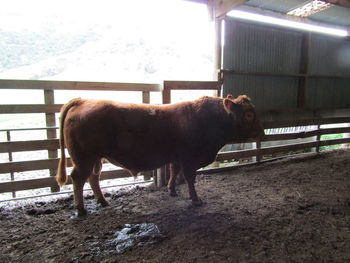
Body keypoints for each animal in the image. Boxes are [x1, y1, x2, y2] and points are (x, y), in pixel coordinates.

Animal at [56, 95, 264, 217]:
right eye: (248, 115)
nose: (262, 132)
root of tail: (84, 100)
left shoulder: (176, 157)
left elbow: (174, 171)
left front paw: (172, 190)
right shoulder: (189, 158)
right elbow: (189, 178)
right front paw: (195, 200)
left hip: (96, 158)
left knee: (93, 177)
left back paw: (102, 201)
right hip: (83, 158)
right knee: (78, 178)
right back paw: (81, 209)